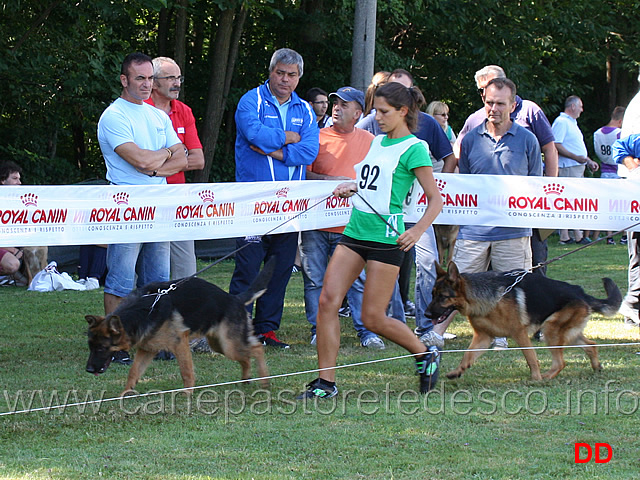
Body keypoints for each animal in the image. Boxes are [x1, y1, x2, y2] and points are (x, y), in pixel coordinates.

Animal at [86, 260, 274, 396]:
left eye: (101, 348)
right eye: (91, 347)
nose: (88, 370)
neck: (145, 311)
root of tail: (235, 299)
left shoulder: (179, 344)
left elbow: (186, 371)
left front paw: (187, 394)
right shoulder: (147, 349)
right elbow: (133, 372)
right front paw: (124, 394)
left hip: (229, 345)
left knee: (257, 348)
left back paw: (264, 381)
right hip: (220, 345)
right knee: (246, 357)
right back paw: (245, 379)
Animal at [428, 260, 624, 380]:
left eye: (443, 297)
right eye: (432, 294)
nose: (427, 315)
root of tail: (581, 292)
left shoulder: (519, 333)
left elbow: (531, 358)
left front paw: (535, 378)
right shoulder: (483, 337)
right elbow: (467, 355)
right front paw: (457, 371)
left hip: (550, 330)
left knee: (561, 362)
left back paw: (544, 378)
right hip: (566, 333)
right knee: (591, 345)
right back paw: (596, 367)